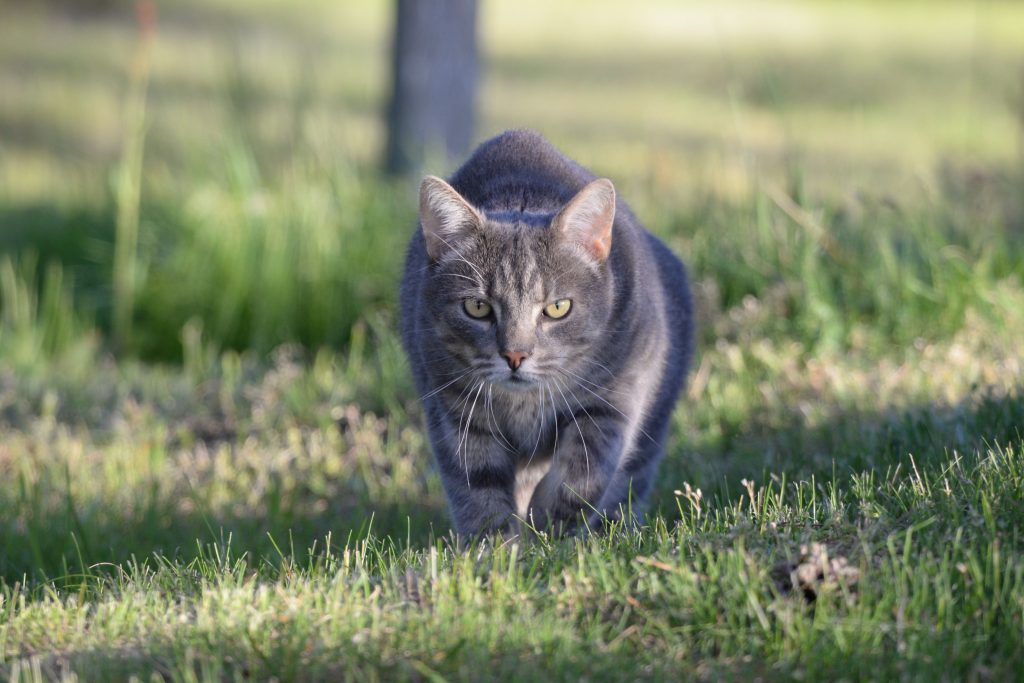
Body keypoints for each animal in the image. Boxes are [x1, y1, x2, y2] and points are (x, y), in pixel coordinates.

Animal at [399, 129, 696, 540]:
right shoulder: (457, 413)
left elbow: (583, 472)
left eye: (558, 308)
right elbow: (479, 490)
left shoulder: (615, 398)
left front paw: (549, 529)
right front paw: (495, 549)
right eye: (477, 307)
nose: (515, 356)